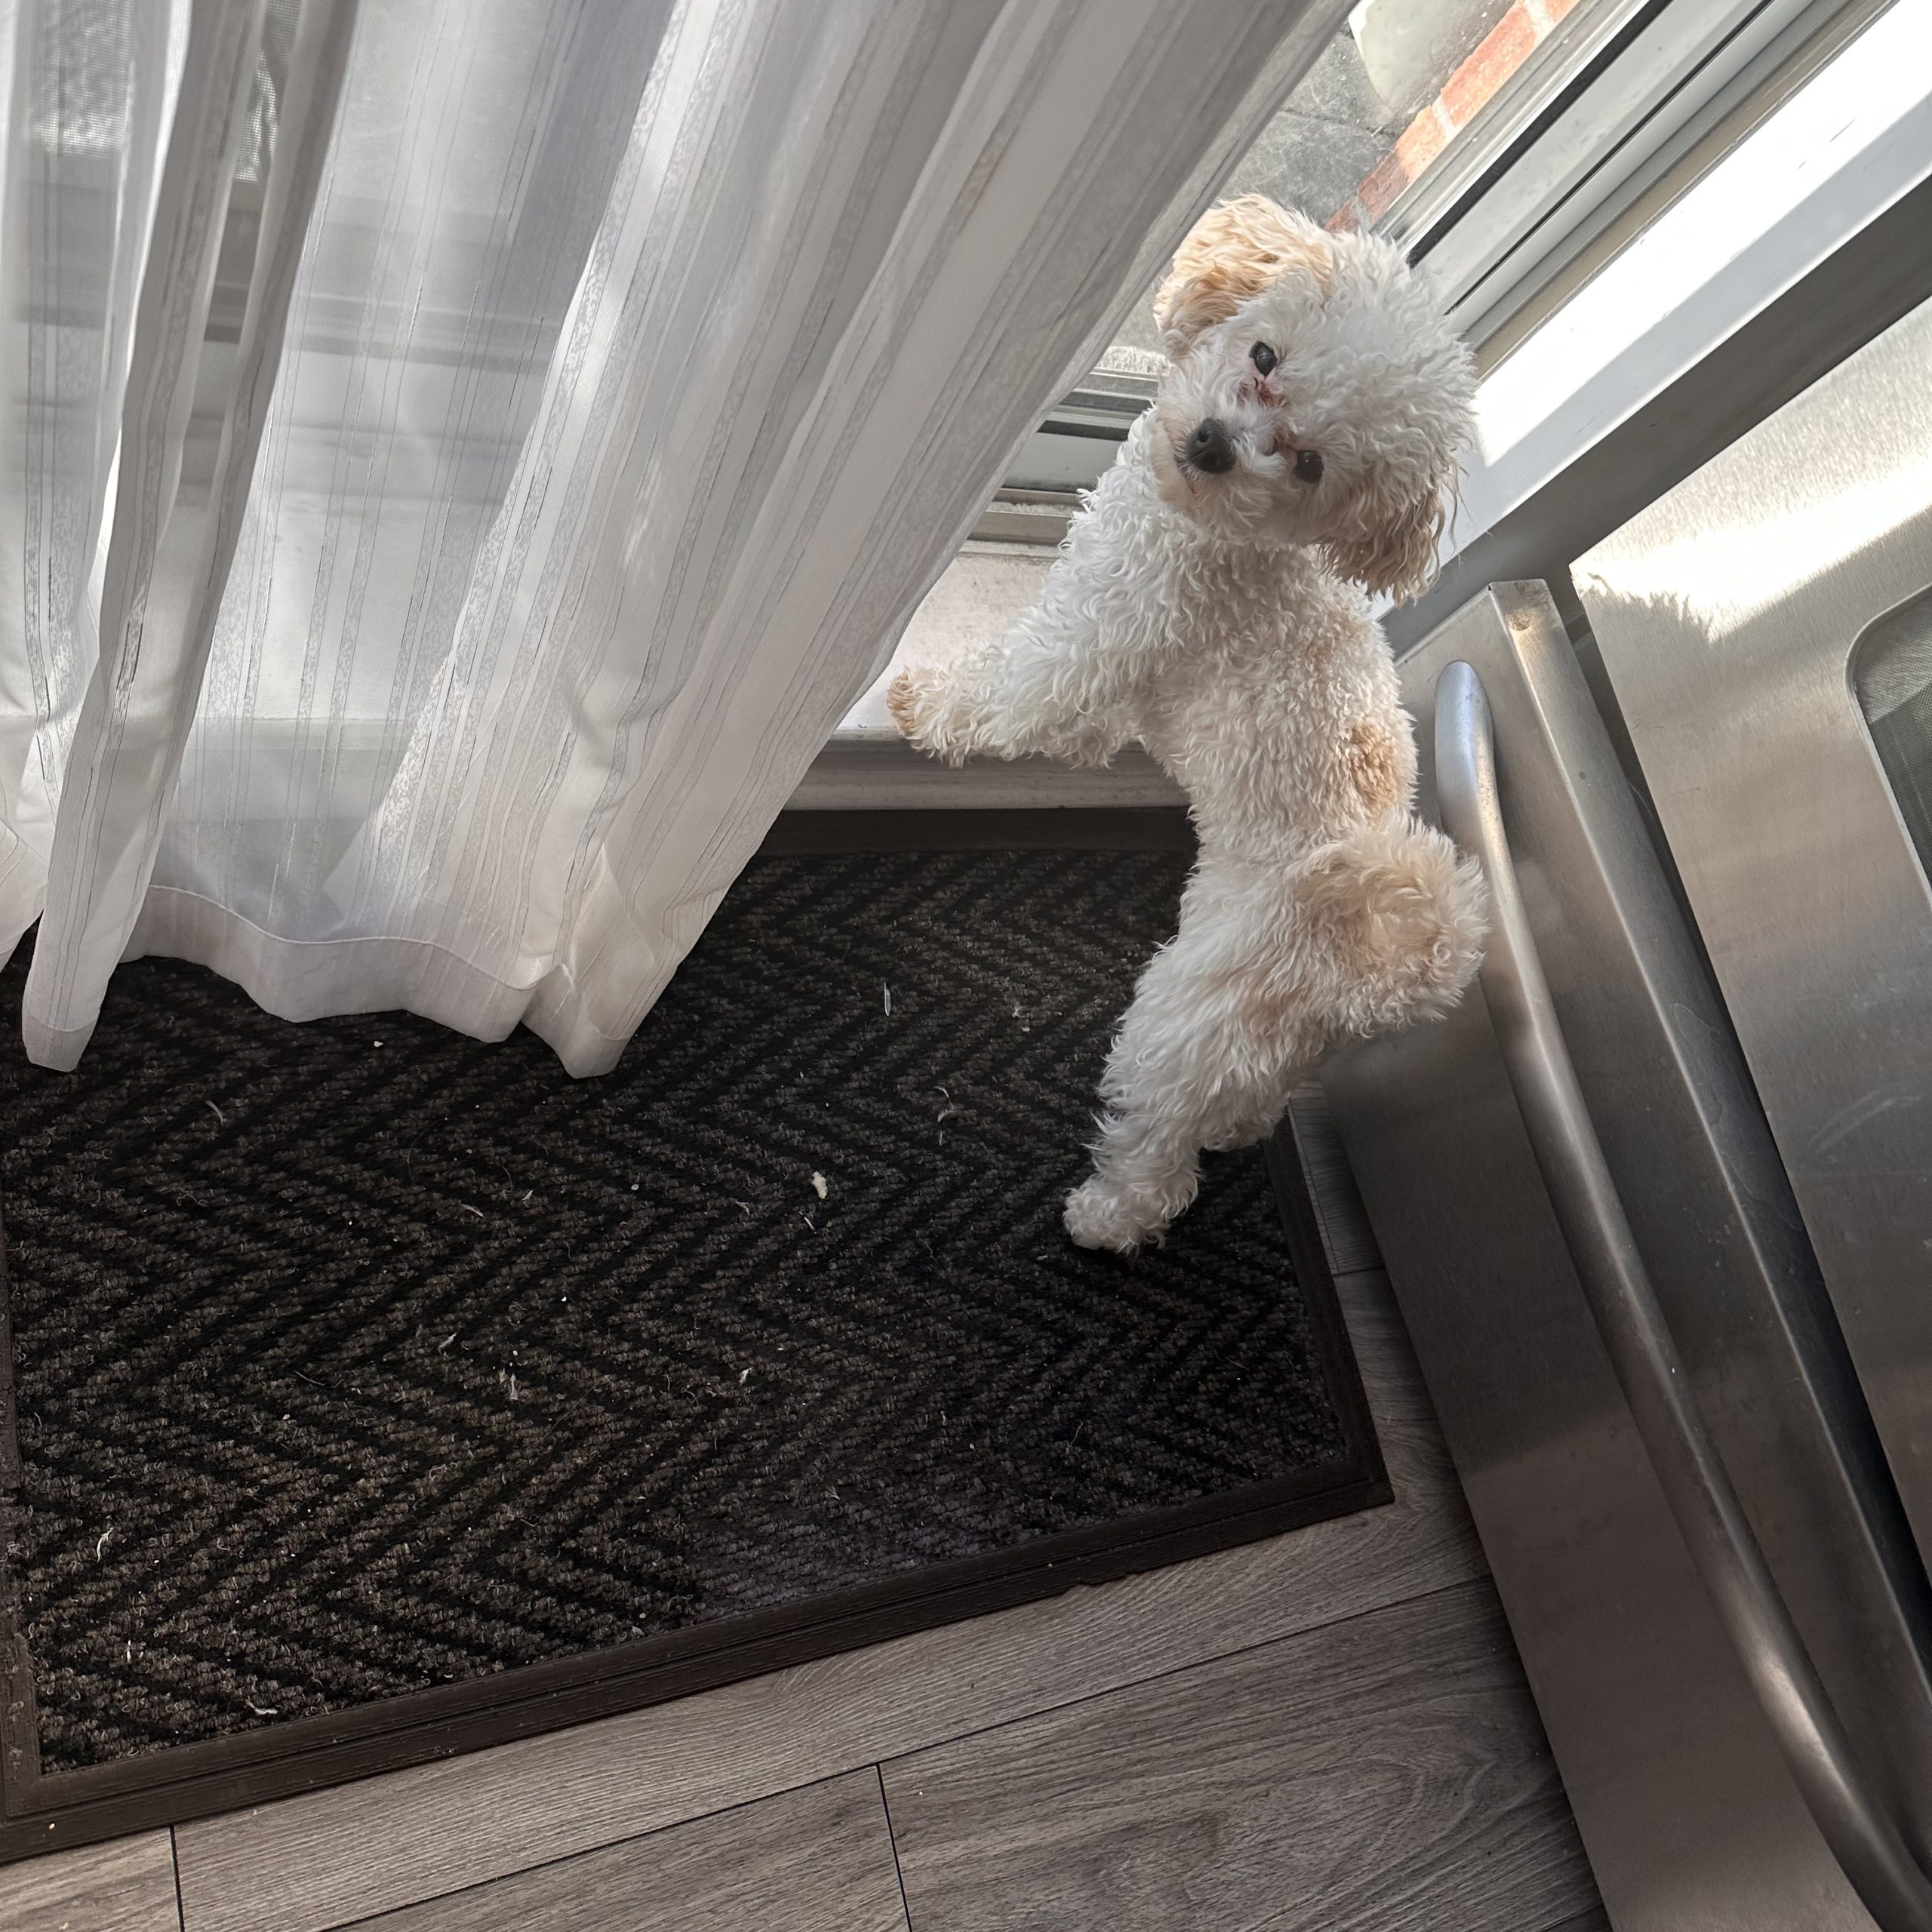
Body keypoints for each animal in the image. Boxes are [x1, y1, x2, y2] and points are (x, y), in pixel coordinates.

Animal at [890, 196, 1486, 1251]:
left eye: (1308, 463)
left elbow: (1014, 694)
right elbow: (1086, 725)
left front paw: (927, 705)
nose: (1213, 441)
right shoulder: (1119, 643)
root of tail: (1368, 974)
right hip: (1255, 1048)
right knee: (1237, 1104)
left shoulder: (1097, 629)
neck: (1218, 524)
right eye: (1263, 354)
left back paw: (1106, 1215)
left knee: (1161, 1152)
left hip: (1176, 1024)